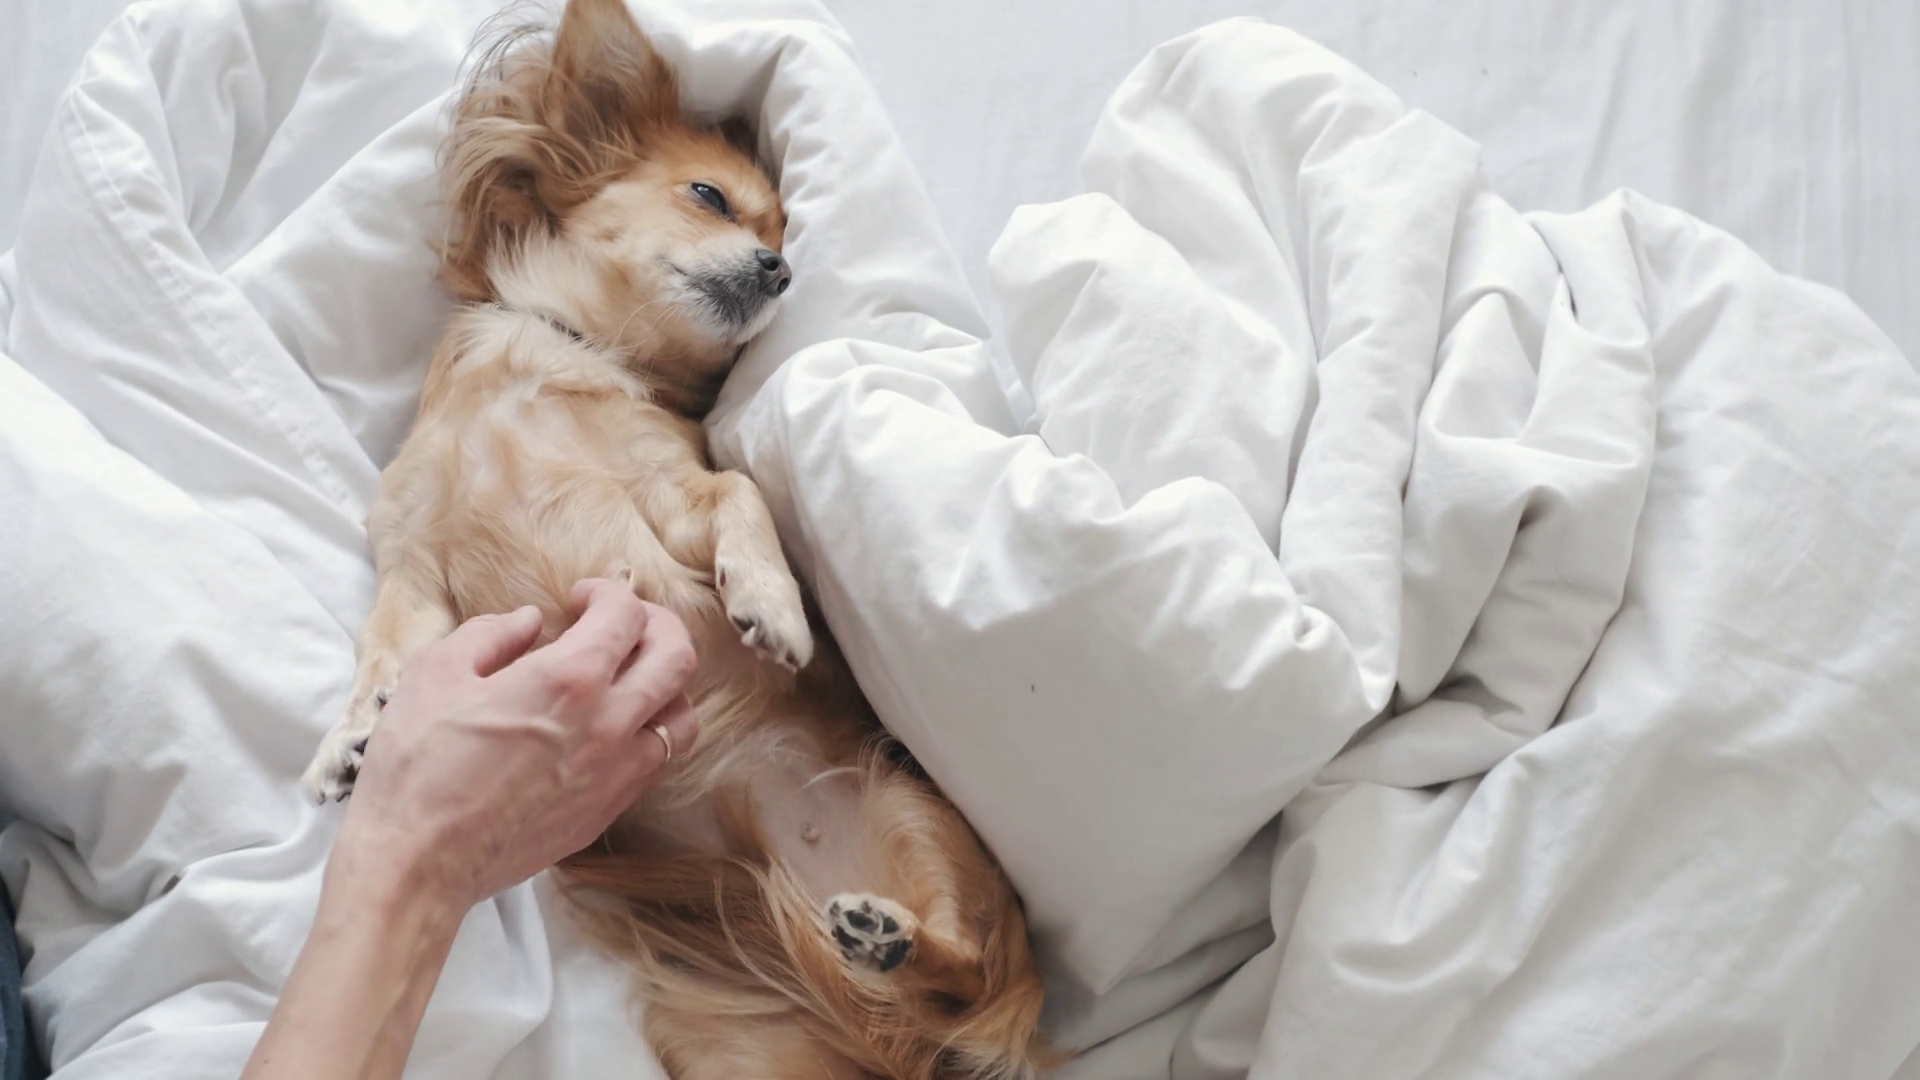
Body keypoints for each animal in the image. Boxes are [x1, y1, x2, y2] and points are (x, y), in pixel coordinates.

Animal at [300, 0, 1050, 1075]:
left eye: (785, 236)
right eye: (710, 198)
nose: (781, 268)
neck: (547, 367)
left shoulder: (670, 492)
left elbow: (739, 489)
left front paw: (774, 606)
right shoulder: (414, 572)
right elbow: (383, 652)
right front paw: (354, 735)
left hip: (921, 824)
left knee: (964, 972)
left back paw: (894, 940)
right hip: (740, 1047)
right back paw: (879, 951)